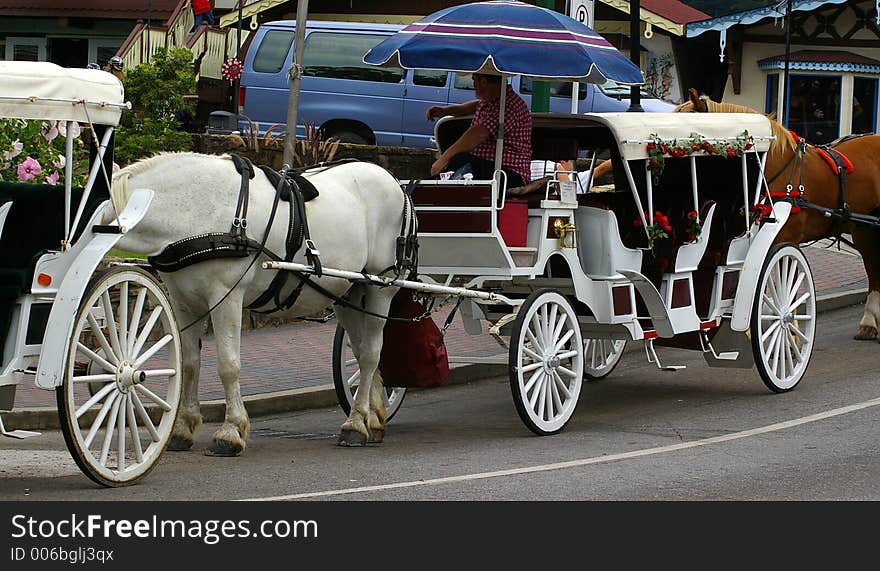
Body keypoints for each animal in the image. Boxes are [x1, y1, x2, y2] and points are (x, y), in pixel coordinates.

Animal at [105, 152, 404, 456]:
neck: (196, 208)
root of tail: (391, 178)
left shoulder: (226, 296)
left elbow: (228, 364)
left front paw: (230, 432)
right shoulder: (183, 302)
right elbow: (188, 364)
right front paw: (183, 428)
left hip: (380, 287)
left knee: (371, 353)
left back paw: (355, 424)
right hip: (349, 292)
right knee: (361, 351)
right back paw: (373, 419)